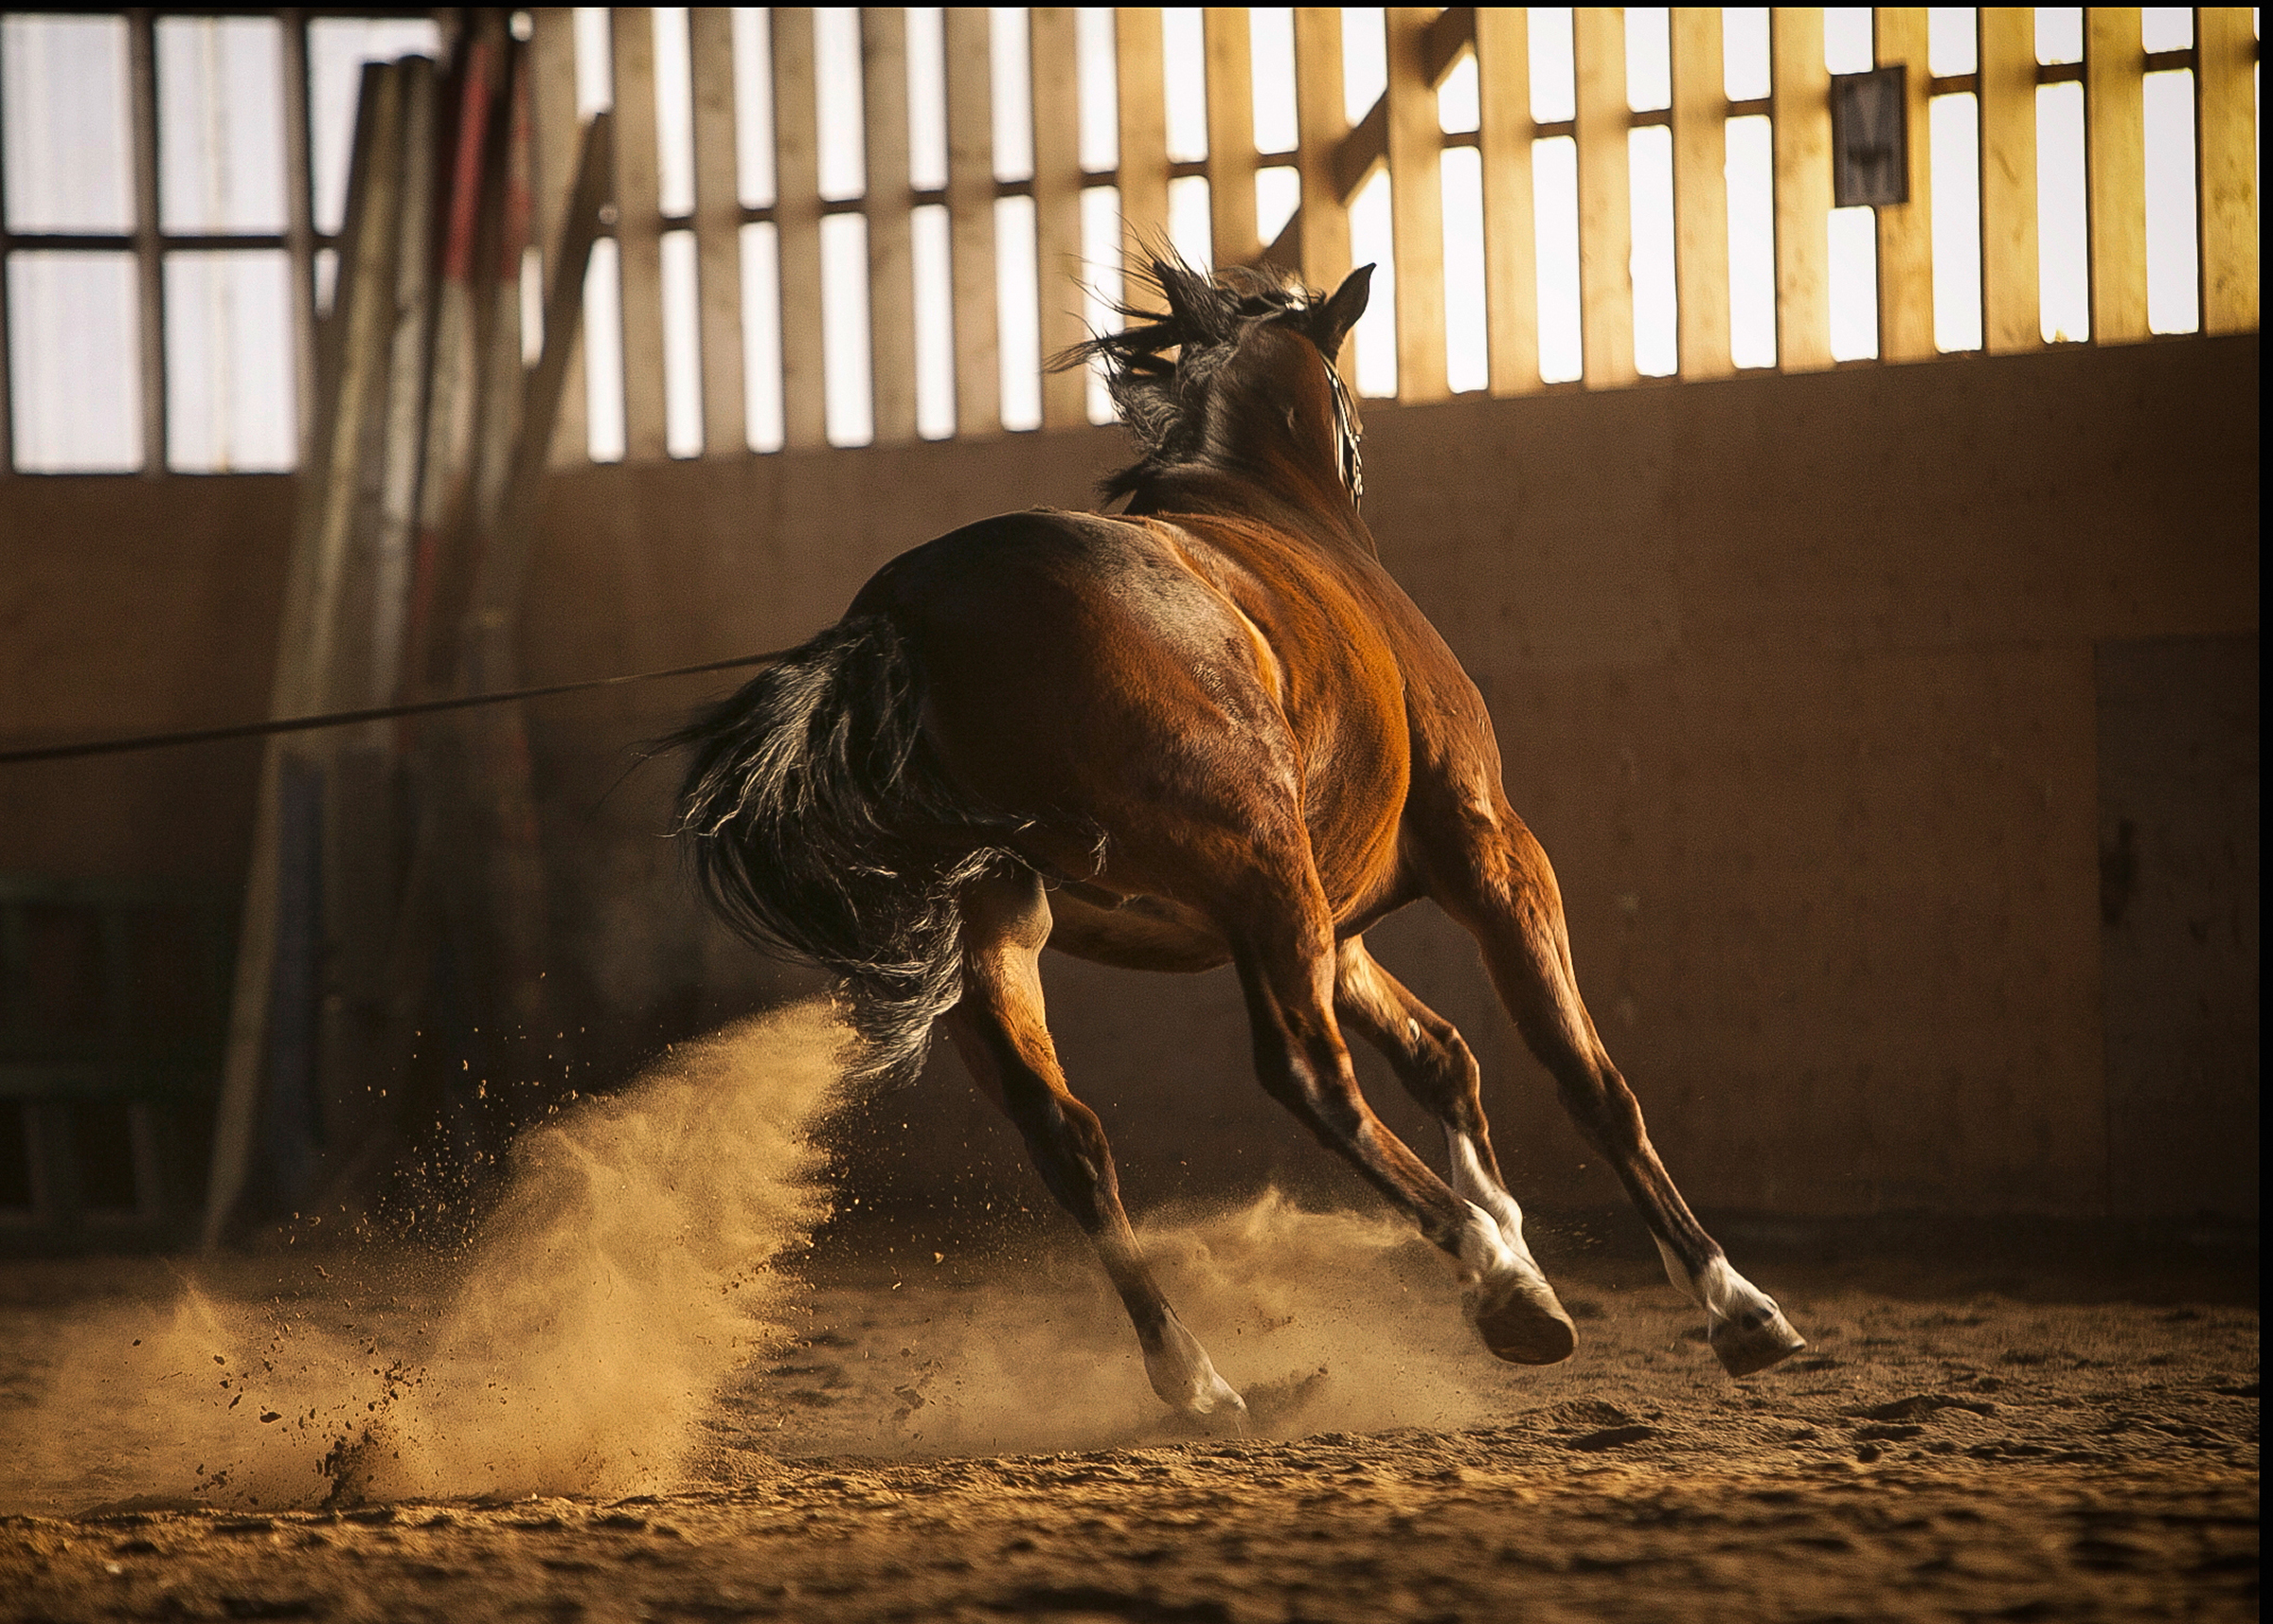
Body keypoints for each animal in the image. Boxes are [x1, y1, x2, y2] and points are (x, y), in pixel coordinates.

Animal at [671, 255, 1805, 1423]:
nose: (1359, 462)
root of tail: (905, 617)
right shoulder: (1488, 855)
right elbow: (1586, 1077)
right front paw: (1733, 1304)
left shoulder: (1337, 926)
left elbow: (1441, 1054)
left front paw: (1520, 1232)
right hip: (1259, 872)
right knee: (1308, 1073)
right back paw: (1500, 1290)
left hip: (1011, 938)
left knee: (1068, 1136)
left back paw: (1204, 1376)